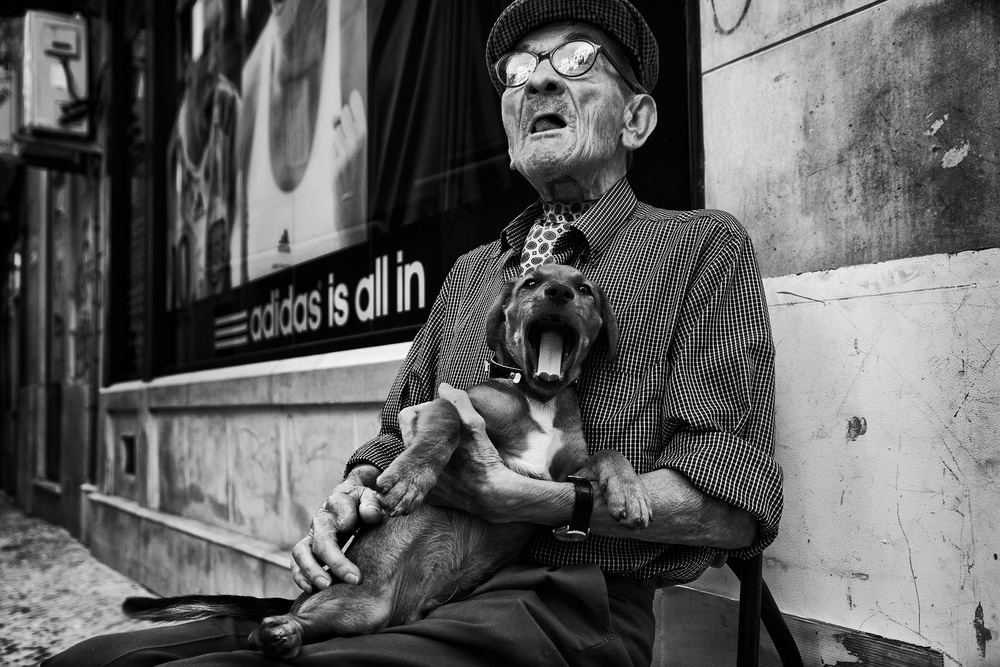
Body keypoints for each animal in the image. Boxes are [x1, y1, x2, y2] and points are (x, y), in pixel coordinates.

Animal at [123, 264, 652, 660]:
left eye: (584, 289)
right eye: (530, 283)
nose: (558, 292)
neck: (538, 396)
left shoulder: (565, 474)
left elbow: (610, 453)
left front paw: (631, 494)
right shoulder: (447, 404)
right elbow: (445, 426)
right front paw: (409, 480)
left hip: (359, 615)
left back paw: (285, 636)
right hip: (340, 598)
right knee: (268, 628)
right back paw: (278, 632)